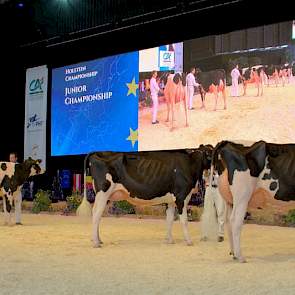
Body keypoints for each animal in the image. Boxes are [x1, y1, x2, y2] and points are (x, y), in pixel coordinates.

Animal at [77, 147, 214, 249]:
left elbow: (169, 219)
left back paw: (99, 240)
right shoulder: (181, 197)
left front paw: (169, 240)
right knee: (96, 214)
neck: (190, 165)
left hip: (104, 196)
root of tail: (96, 152)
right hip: (103, 192)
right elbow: (184, 221)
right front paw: (189, 241)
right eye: (211, 153)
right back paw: (96, 243)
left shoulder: (170, 201)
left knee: (98, 215)